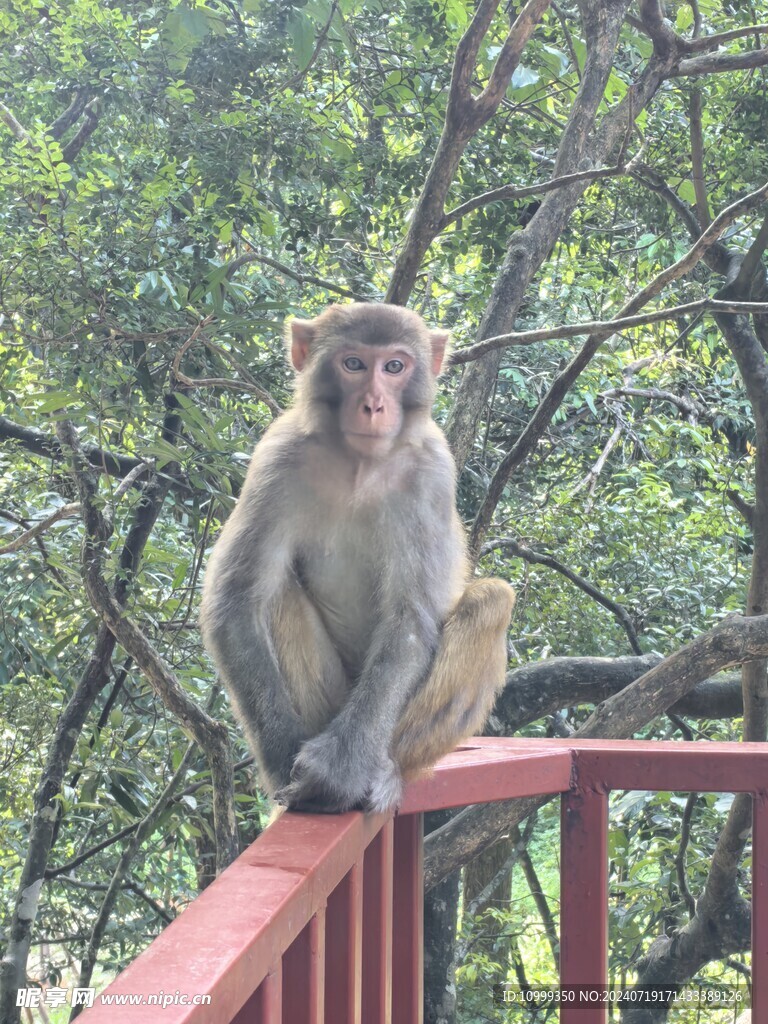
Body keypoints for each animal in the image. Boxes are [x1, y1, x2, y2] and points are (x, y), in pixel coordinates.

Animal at [201, 299, 518, 811]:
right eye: (353, 364)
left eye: (394, 367)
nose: (373, 406)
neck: (358, 464)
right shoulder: (277, 459)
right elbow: (236, 601)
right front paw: (282, 761)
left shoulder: (431, 473)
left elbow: (411, 620)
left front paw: (337, 770)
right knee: (278, 592)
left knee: (492, 600)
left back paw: (386, 770)